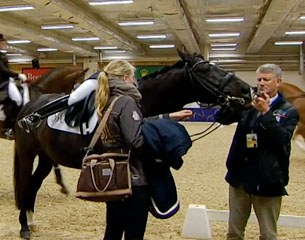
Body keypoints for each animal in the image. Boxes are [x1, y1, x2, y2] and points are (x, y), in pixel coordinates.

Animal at [13, 50, 252, 238]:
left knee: (33, 184)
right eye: (204, 69)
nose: (246, 90)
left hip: (47, 157)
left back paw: (31, 222)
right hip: (27, 154)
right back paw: (24, 227)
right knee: (25, 185)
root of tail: (28, 109)